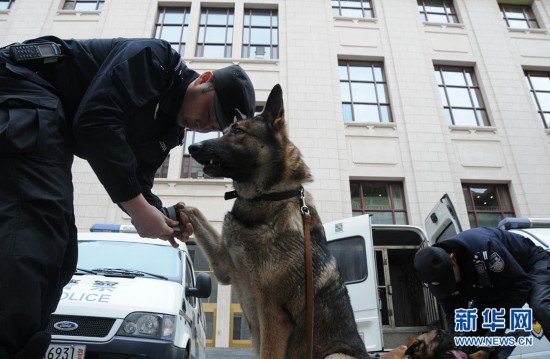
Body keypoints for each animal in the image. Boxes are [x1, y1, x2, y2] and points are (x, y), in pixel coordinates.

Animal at [182, 85, 370, 359]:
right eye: (225, 130)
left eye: (238, 132)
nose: (193, 147)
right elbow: (196, 212)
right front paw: (178, 210)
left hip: (335, 354)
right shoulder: (224, 267)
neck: (269, 197)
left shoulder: (272, 315)